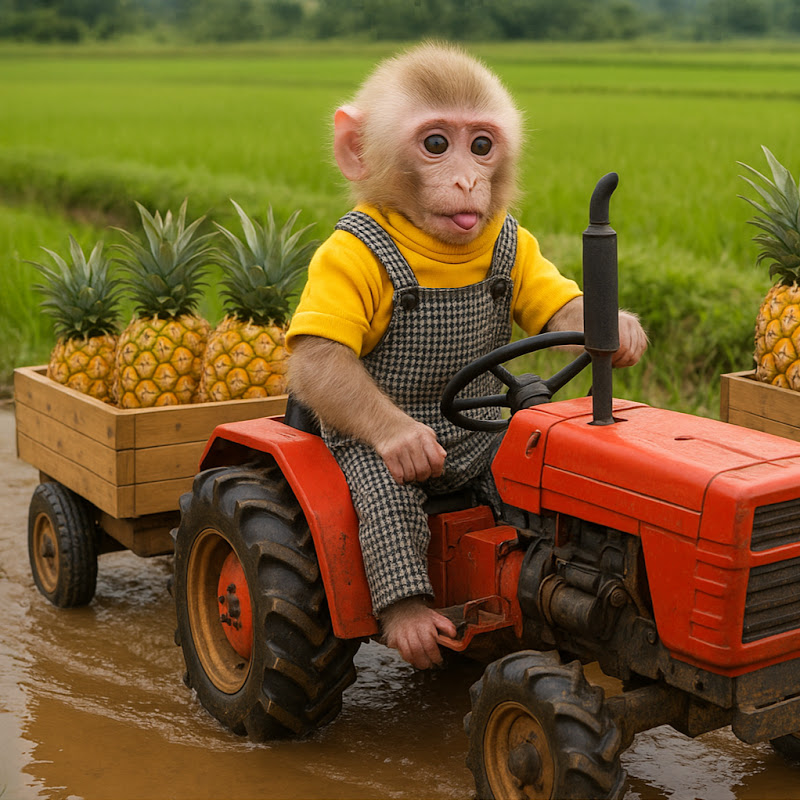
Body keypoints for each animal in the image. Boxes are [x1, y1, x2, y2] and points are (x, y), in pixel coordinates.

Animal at [287, 42, 648, 670]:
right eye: (436, 144)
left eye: (481, 146)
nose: (464, 181)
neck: (437, 249)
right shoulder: (343, 256)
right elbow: (321, 355)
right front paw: (408, 441)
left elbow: (561, 307)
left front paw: (623, 333)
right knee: (384, 510)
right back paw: (410, 620)